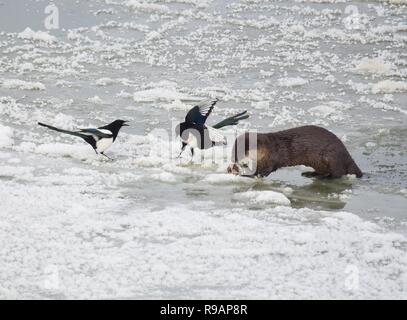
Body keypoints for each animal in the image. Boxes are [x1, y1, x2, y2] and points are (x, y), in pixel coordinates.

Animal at [228, 125, 364, 179]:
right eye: (233, 151)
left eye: (243, 152)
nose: (233, 160)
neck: (269, 148)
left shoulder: (274, 157)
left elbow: (270, 168)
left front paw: (253, 175)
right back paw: (310, 174)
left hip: (331, 156)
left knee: (337, 174)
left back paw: (323, 178)